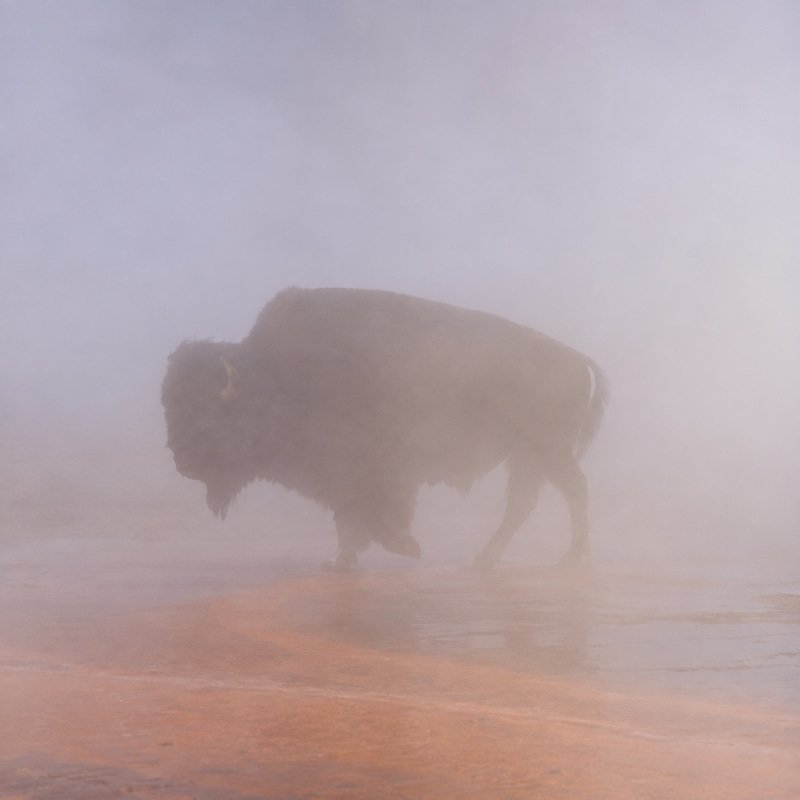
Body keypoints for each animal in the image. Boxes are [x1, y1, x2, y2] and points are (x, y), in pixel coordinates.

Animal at [162, 287, 607, 570]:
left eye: (207, 416)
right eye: (170, 408)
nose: (182, 463)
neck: (277, 375)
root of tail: (575, 357)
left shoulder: (369, 469)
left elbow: (371, 512)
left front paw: (405, 546)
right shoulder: (337, 477)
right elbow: (348, 517)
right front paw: (339, 562)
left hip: (548, 450)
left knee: (574, 490)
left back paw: (572, 560)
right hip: (526, 455)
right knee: (524, 504)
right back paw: (485, 559)